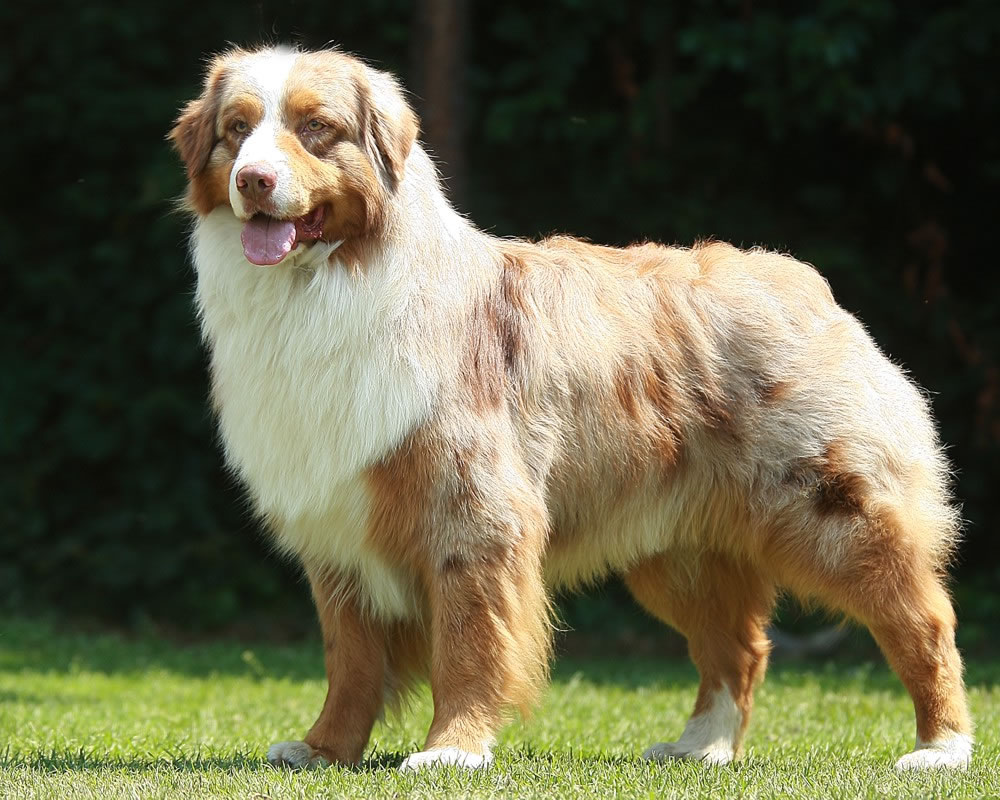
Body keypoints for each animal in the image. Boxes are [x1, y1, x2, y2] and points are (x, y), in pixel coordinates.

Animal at [170, 43, 968, 768]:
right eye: (237, 128)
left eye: (316, 128)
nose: (253, 179)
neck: (324, 284)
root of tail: (806, 284)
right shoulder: (336, 525)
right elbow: (351, 661)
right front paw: (324, 749)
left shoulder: (473, 514)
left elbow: (468, 645)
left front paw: (452, 750)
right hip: (678, 547)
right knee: (739, 645)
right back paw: (701, 747)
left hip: (830, 508)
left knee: (923, 619)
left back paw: (941, 747)